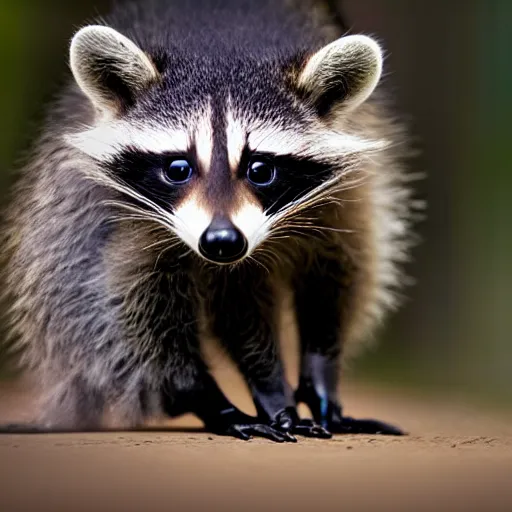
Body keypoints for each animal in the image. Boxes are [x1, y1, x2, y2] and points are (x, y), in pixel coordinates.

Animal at [3, 0, 420, 440]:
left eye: (260, 169)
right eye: (178, 168)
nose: (221, 242)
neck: (221, 52)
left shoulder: (347, 193)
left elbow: (337, 276)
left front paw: (320, 369)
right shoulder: (124, 213)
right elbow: (139, 305)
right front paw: (266, 389)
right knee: (113, 315)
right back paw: (200, 396)